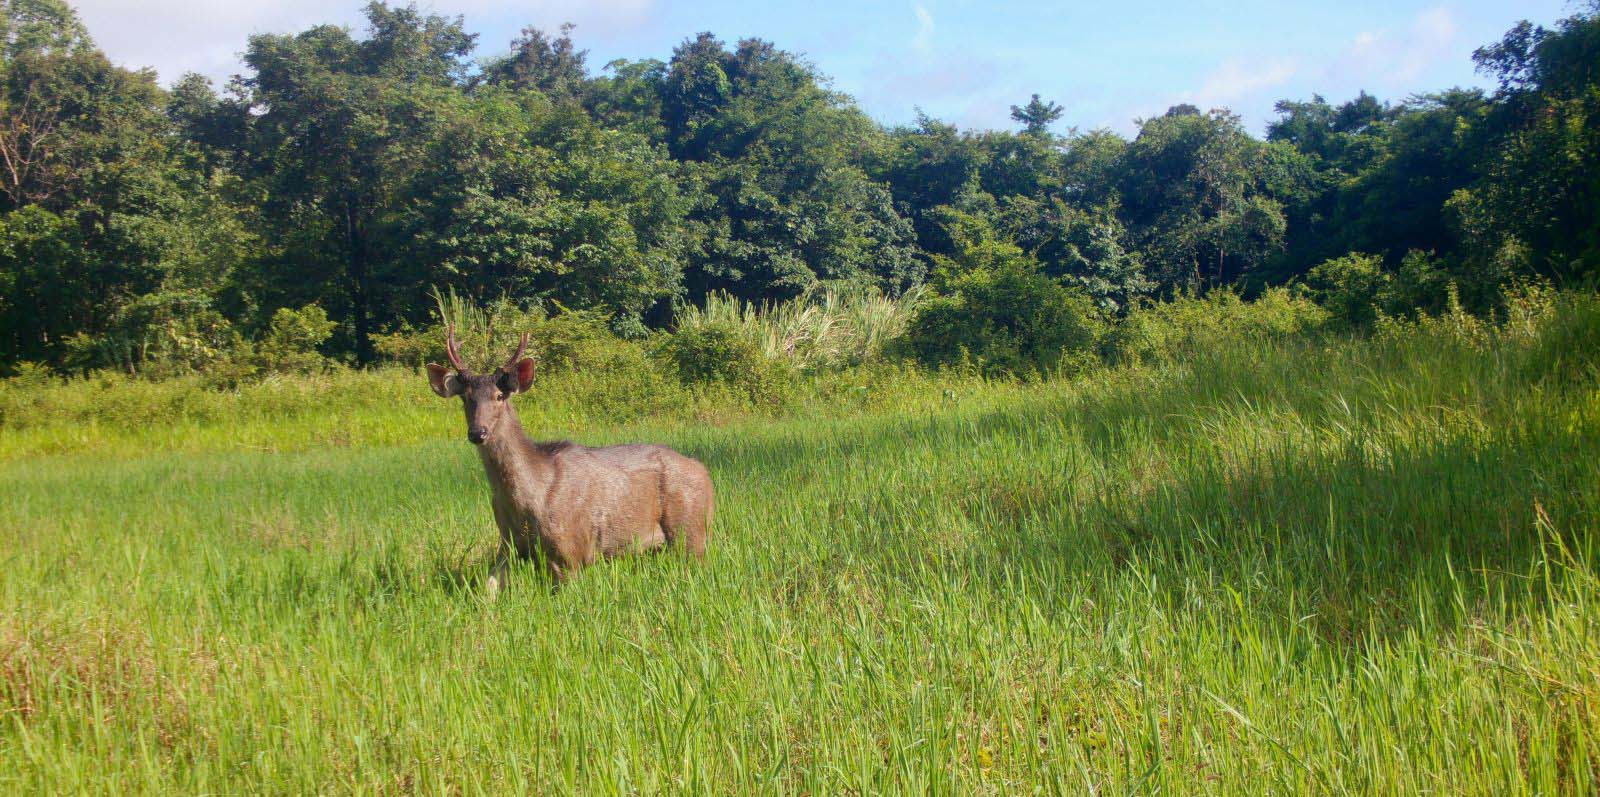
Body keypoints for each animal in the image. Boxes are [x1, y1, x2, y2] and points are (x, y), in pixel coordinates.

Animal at [432, 326, 720, 595]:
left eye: (500, 396)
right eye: (466, 398)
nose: (477, 432)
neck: (530, 495)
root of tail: (704, 471)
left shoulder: (570, 550)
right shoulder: (509, 546)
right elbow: (488, 588)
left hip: (691, 529)